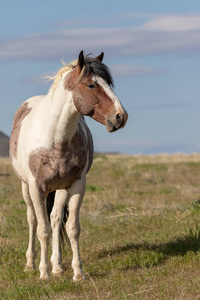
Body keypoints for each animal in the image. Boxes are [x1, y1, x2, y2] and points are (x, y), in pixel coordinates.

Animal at [9, 51, 128, 282]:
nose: (121, 116)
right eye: (91, 85)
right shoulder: (37, 187)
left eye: (108, 83)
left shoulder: (76, 185)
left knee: (56, 219)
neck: (55, 138)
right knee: (32, 220)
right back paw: (31, 264)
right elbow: (42, 230)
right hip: (26, 188)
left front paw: (77, 272)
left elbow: (72, 228)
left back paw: (57, 266)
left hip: (60, 189)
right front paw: (43, 273)